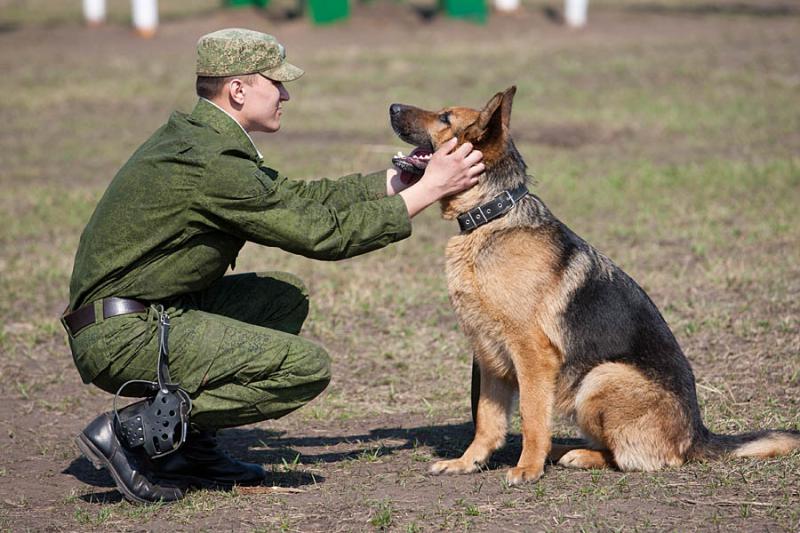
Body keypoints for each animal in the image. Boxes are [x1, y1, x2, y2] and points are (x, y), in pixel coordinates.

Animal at [390, 86, 800, 482]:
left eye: (445, 118)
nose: (392, 106)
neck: (491, 215)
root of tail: (697, 435)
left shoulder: (532, 354)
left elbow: (532, 416)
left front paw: (528, 468)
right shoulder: (489, 355)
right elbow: (486, 422)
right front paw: (466, 463)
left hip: (601, 377)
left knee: (635, 458)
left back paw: (573, 454)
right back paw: (561, 450)